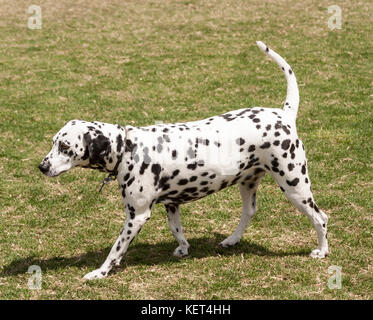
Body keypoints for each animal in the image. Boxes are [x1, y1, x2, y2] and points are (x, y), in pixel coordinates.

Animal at [39, 41, 326, 278]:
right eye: (54, 142)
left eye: (64, 146)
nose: (41, 166)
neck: (128, 147)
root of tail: (283, 114)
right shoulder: (171, 204)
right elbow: (177, 231)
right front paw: (183, 248)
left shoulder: (136, 216)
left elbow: (116, 249)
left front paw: (100, 272)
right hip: (248, 184)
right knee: (249, 212)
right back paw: (232, 240)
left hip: (295, 186)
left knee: (320, 218)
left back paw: (322, 251)